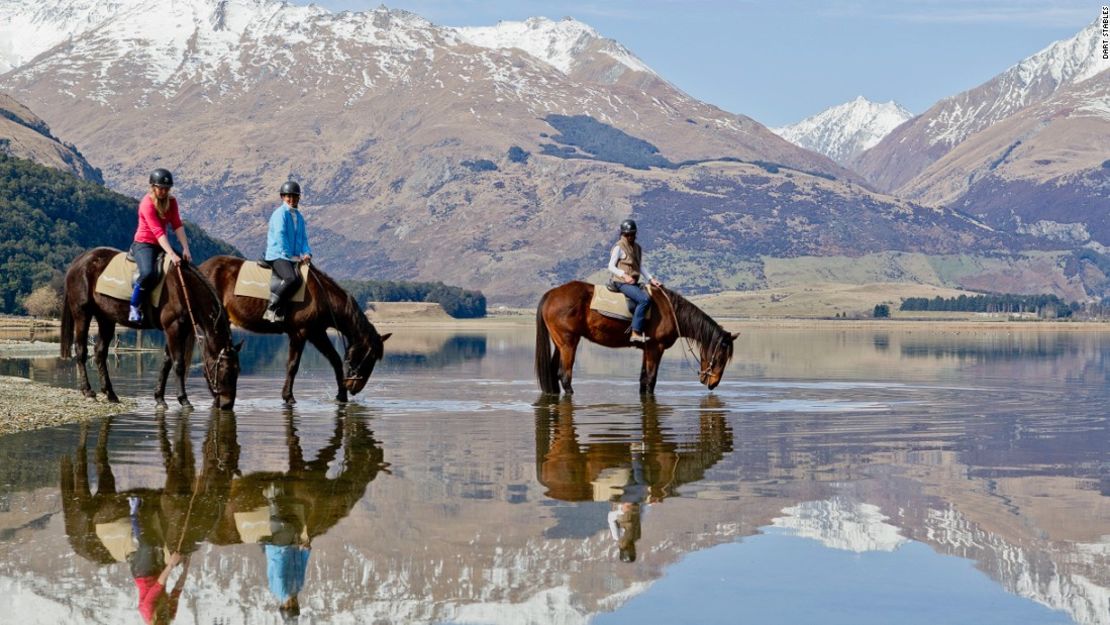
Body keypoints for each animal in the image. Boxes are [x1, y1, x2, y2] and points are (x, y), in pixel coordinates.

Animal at [61, 249, 239, 410]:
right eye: (224, 370)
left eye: (237, 370)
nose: (227, 405)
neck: (184, 288)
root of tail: (79, 262)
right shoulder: (173, 328)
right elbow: (178, 363)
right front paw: (184, 399)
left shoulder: (177, 330)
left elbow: (166, 362)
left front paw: (160, 398)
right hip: (82, 313)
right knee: (81, 350)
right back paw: (88, 391)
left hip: (106, 319)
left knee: (100, 352)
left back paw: (110, 393)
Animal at [199, 255, 390, 406]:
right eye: (370, 357)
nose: (354, 388)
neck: (323, 296)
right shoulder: (301, 333)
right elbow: (293, 365)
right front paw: (288, 397)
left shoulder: (317, 333)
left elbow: (335, 360)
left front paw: (341, 396)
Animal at [535, 284, 737, 395]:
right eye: (721, 357)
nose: (713, 383)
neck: (671, 312)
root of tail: (551, 294)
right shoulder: (656, 348)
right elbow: (651, 380)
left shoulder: (647, 349)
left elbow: (643, 380)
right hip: (569, 343)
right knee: (565, 375)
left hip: (560, 344)